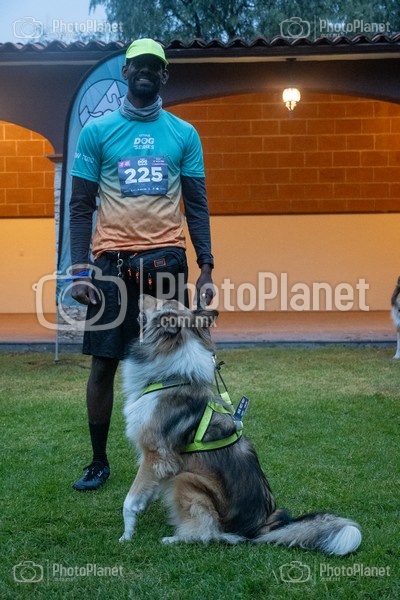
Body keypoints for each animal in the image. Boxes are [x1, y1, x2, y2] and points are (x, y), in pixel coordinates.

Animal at [119, 294, 362, 555]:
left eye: (161, 303)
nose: (140, 295)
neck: (171, 378)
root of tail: (262, 527)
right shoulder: (162, 462)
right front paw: (143, 508)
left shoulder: (156, 454)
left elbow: (129, 501)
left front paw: (126, 535)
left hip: (187, 479)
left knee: (209, 533)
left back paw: (174, 539)